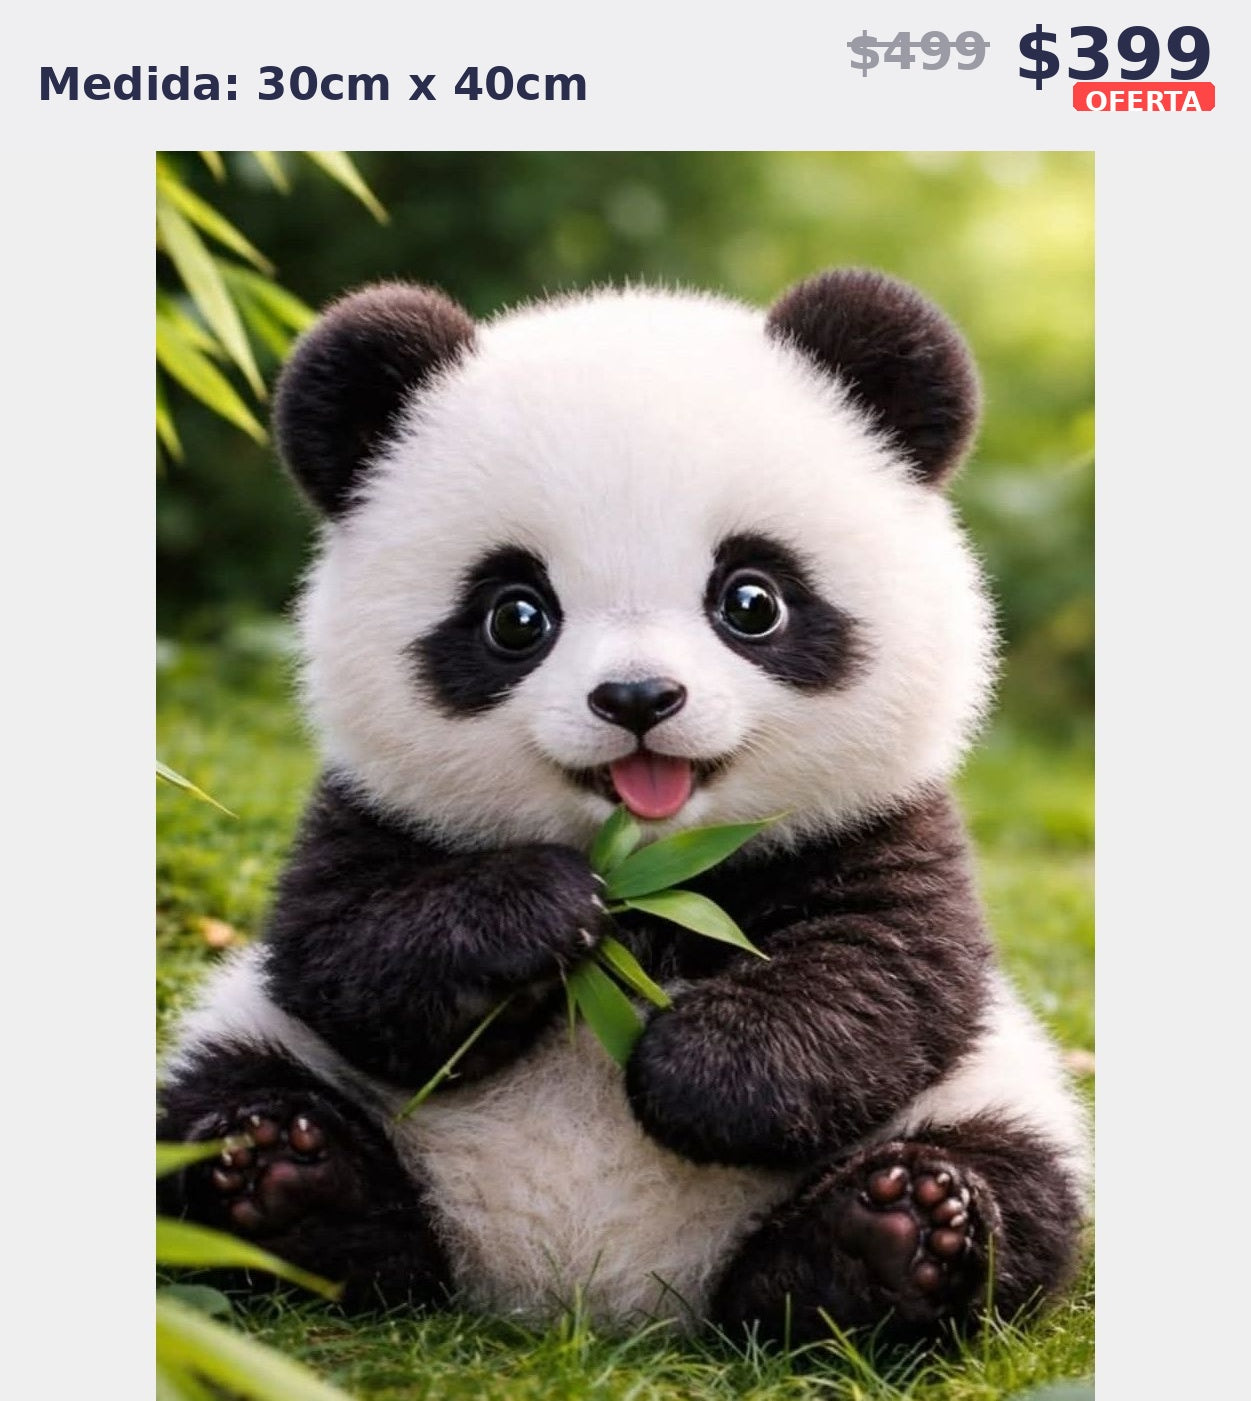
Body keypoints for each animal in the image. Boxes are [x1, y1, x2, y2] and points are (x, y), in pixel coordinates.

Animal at [158, 269, 1090, 1346]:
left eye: (752, 600)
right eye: (516, 614)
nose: (639, 699)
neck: (650, 862)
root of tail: (590, 1294)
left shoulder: (882, 825)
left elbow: (881, 973)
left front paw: (692, 1069)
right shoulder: (366, 814)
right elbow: (347, 953)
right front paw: (539, 911)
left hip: (1000, 1094)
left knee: (1012, 1186)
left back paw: (889, 1242)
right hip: (252, 1044)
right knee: (218, 1113)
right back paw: (284, 1179)